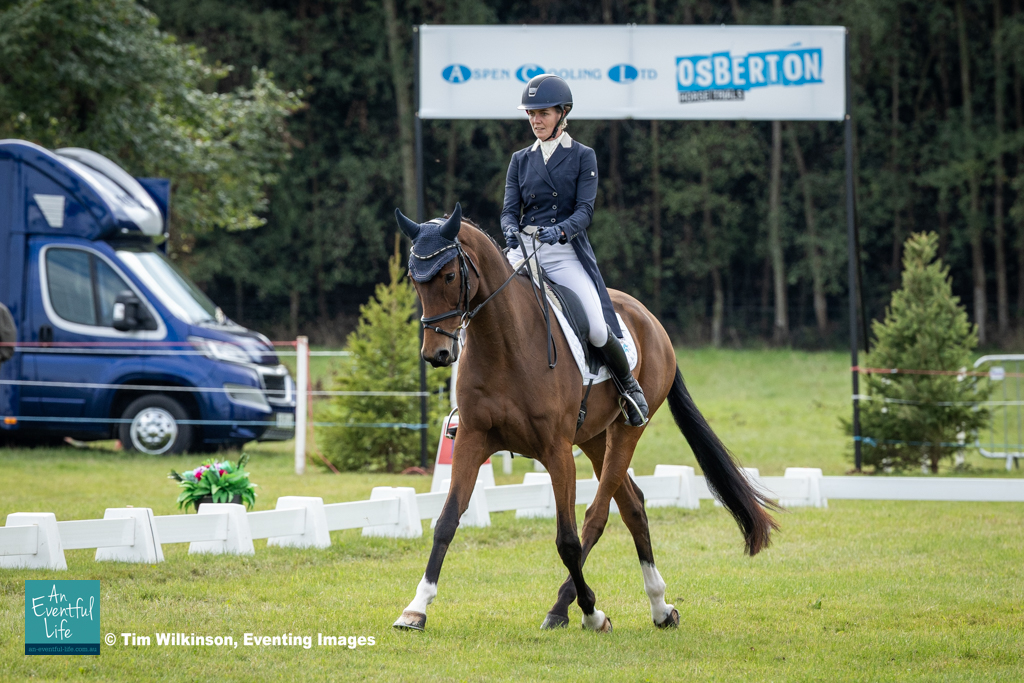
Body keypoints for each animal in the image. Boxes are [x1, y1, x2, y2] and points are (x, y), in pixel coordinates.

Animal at [392, 205, 778, 632]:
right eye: (413, 279)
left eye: (449, 275)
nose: (437, 354)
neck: (504, 343)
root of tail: (649, 319)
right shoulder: (472, 439)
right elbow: (446, 521)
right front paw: (415, 608)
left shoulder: (557, 452)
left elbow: (568, 539)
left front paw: (592, 611)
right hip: (593, 438)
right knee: (633, 506)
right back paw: (659, 607)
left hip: (626, 430)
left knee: (599, 513)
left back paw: (568, 607)